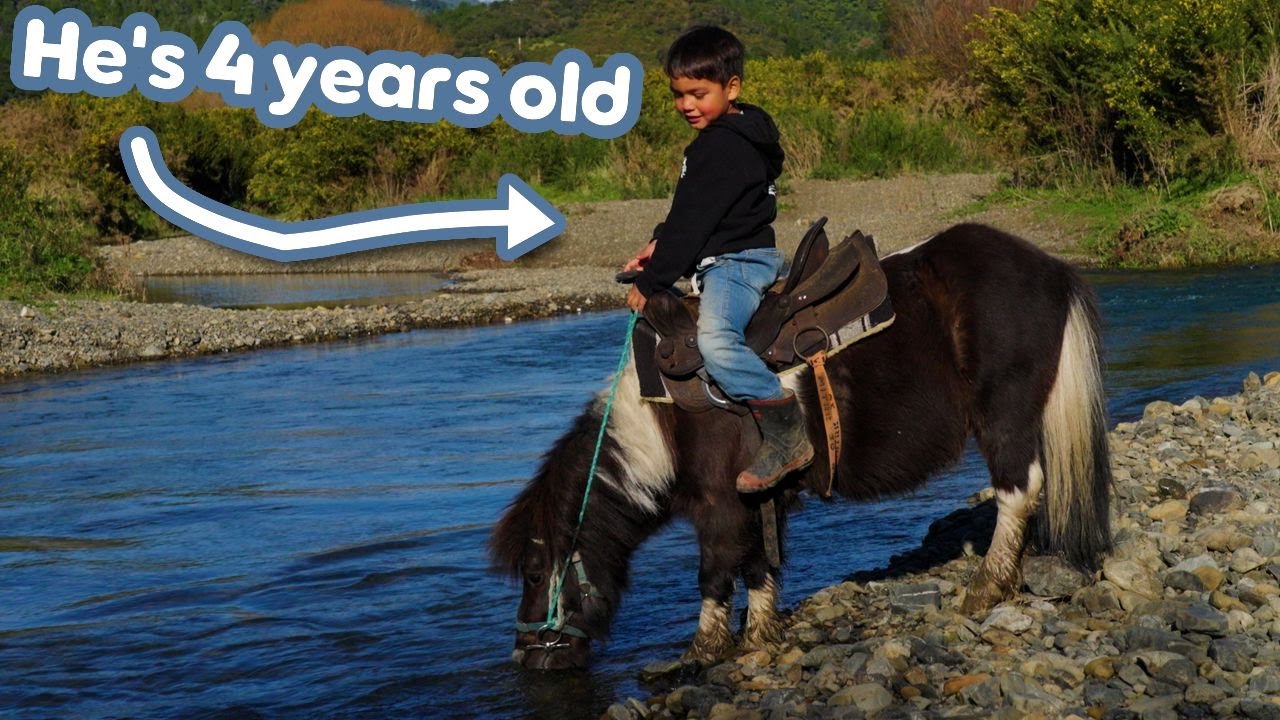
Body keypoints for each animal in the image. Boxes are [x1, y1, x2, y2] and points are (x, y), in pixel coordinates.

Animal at [490, 223, 1112, 670]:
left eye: (533, 574)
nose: (527, 657)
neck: (661, 422)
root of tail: (1052, 268)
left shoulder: (717, 504)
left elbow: (715, 572)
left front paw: (700, 651)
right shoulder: (756, 499)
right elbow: (758, 564)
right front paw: (761, 635)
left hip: (1003, 416)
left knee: (1018, 488)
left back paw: (987, 586)